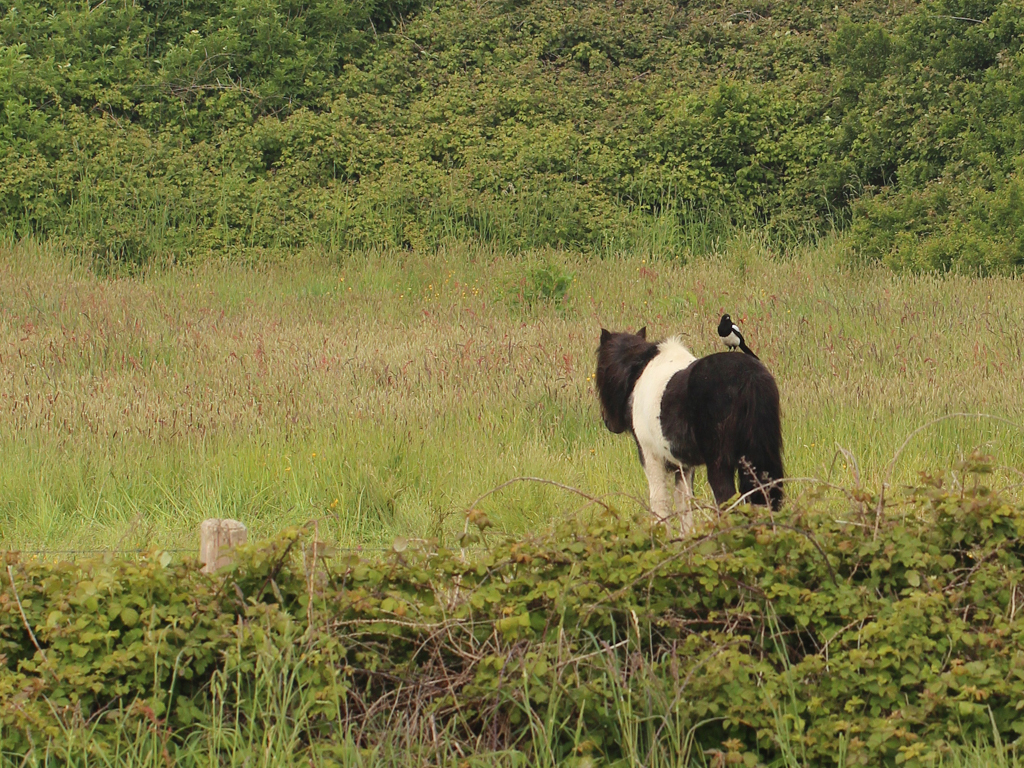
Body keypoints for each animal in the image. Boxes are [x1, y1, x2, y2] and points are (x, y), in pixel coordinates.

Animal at [593, 327, 782, 532]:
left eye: (601, 368)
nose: (609, 422)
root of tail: (748, 377)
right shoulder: (684, 466)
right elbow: (684, 502)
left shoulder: (650, 456)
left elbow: (660, 501)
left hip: (719, 463)